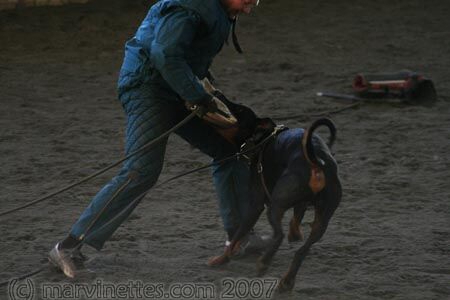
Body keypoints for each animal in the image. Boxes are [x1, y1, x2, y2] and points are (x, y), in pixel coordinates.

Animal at [206, 85, 342, 292]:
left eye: (238, 110)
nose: (217, 93)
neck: (262, 141)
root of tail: (317, 161)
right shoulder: (301, 204)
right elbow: (297, 216)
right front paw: (296, 233)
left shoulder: (256, 204)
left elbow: (239, 233)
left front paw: (221, 259)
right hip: (322, 221)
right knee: (301, 251)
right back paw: (286, 281)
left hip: (275, 205)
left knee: (278, 235)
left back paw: (264, 264)